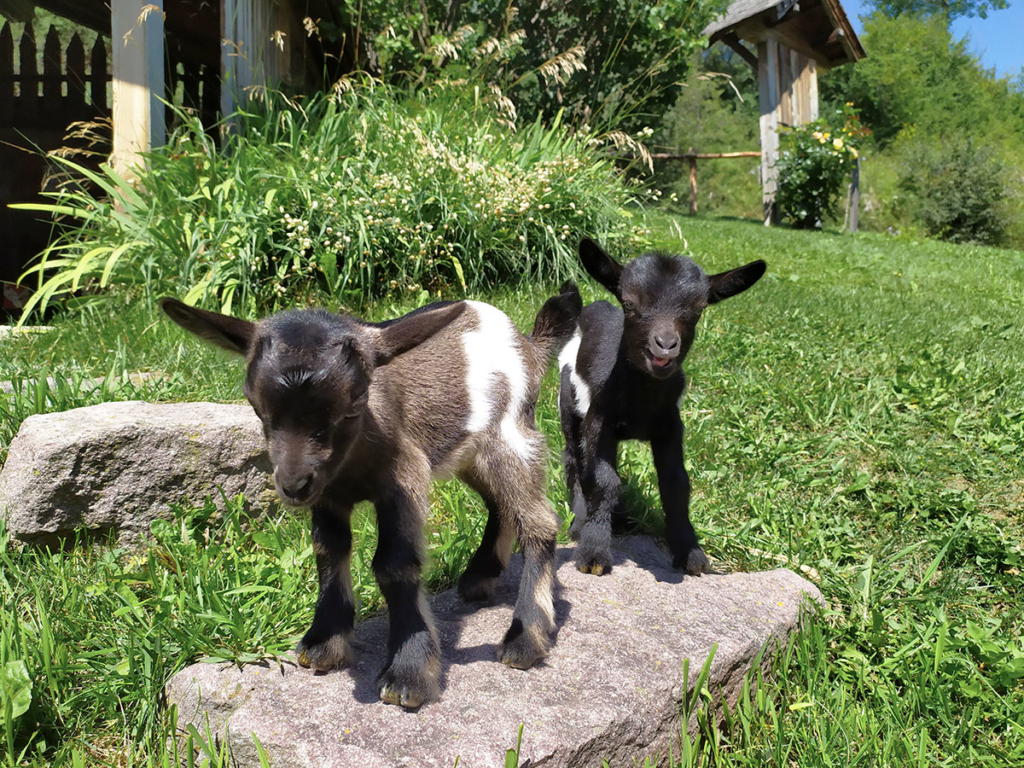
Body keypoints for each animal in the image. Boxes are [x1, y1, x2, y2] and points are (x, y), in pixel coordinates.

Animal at [156, 286, 581, 712]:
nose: (293, 485)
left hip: (510, 434)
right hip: (469, 452)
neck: (353, 462)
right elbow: (328, 551)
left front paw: (408, 673)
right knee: (501, 504)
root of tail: (529, 344)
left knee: (538, 519)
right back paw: (479, 577)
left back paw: (526, 638)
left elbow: (394, 565)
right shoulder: (328, 493)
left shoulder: (404, 479)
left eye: (354, 403)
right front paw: (324, 642)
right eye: (257, 407)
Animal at [557, 240, 765, 577]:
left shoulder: (670, 425)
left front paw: (690, 553)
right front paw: (593, 552)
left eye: (699, 308)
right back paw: (578, 522)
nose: (665, 345)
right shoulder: (598, 419)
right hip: (568, 401)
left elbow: (676, 483)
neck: (641, 400)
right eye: (629, 303)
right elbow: (603, 478)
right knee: (573, 457)